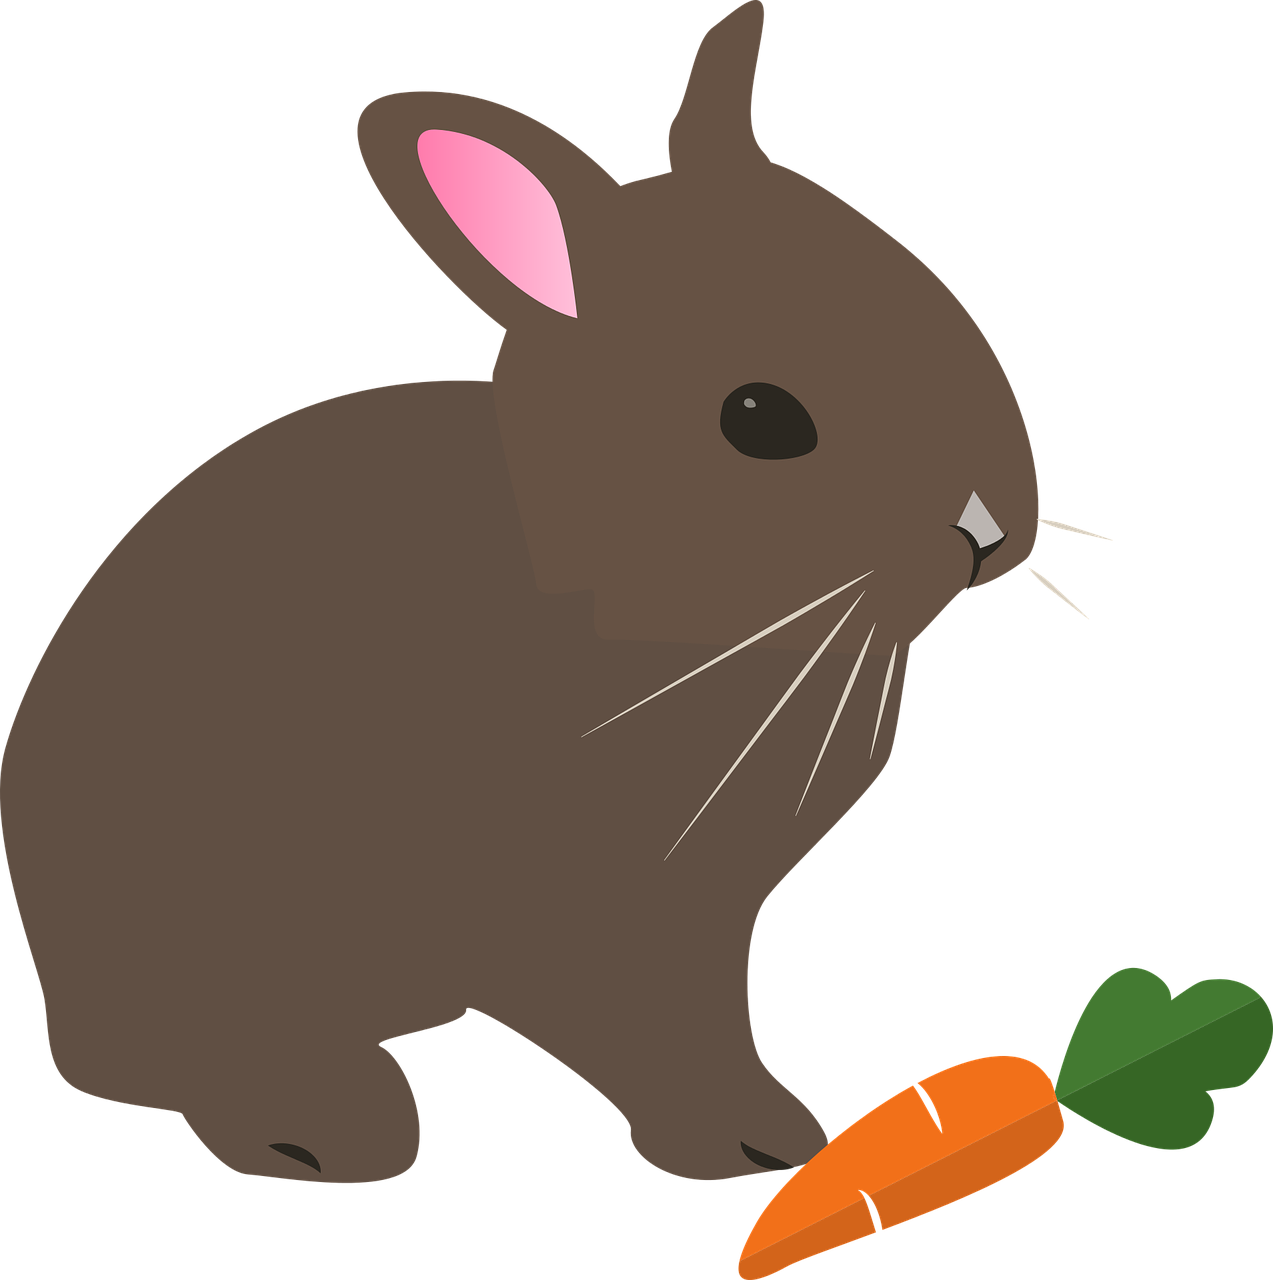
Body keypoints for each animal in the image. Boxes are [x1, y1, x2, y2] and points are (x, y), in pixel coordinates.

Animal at [1, 0, 1041, 1185]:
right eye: (758, 417)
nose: (983, 523)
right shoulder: (585, 921)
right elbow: (641, 1030)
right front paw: (734, 1148)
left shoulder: (705, 928)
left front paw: (781, 1136)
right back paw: (325, 1125)